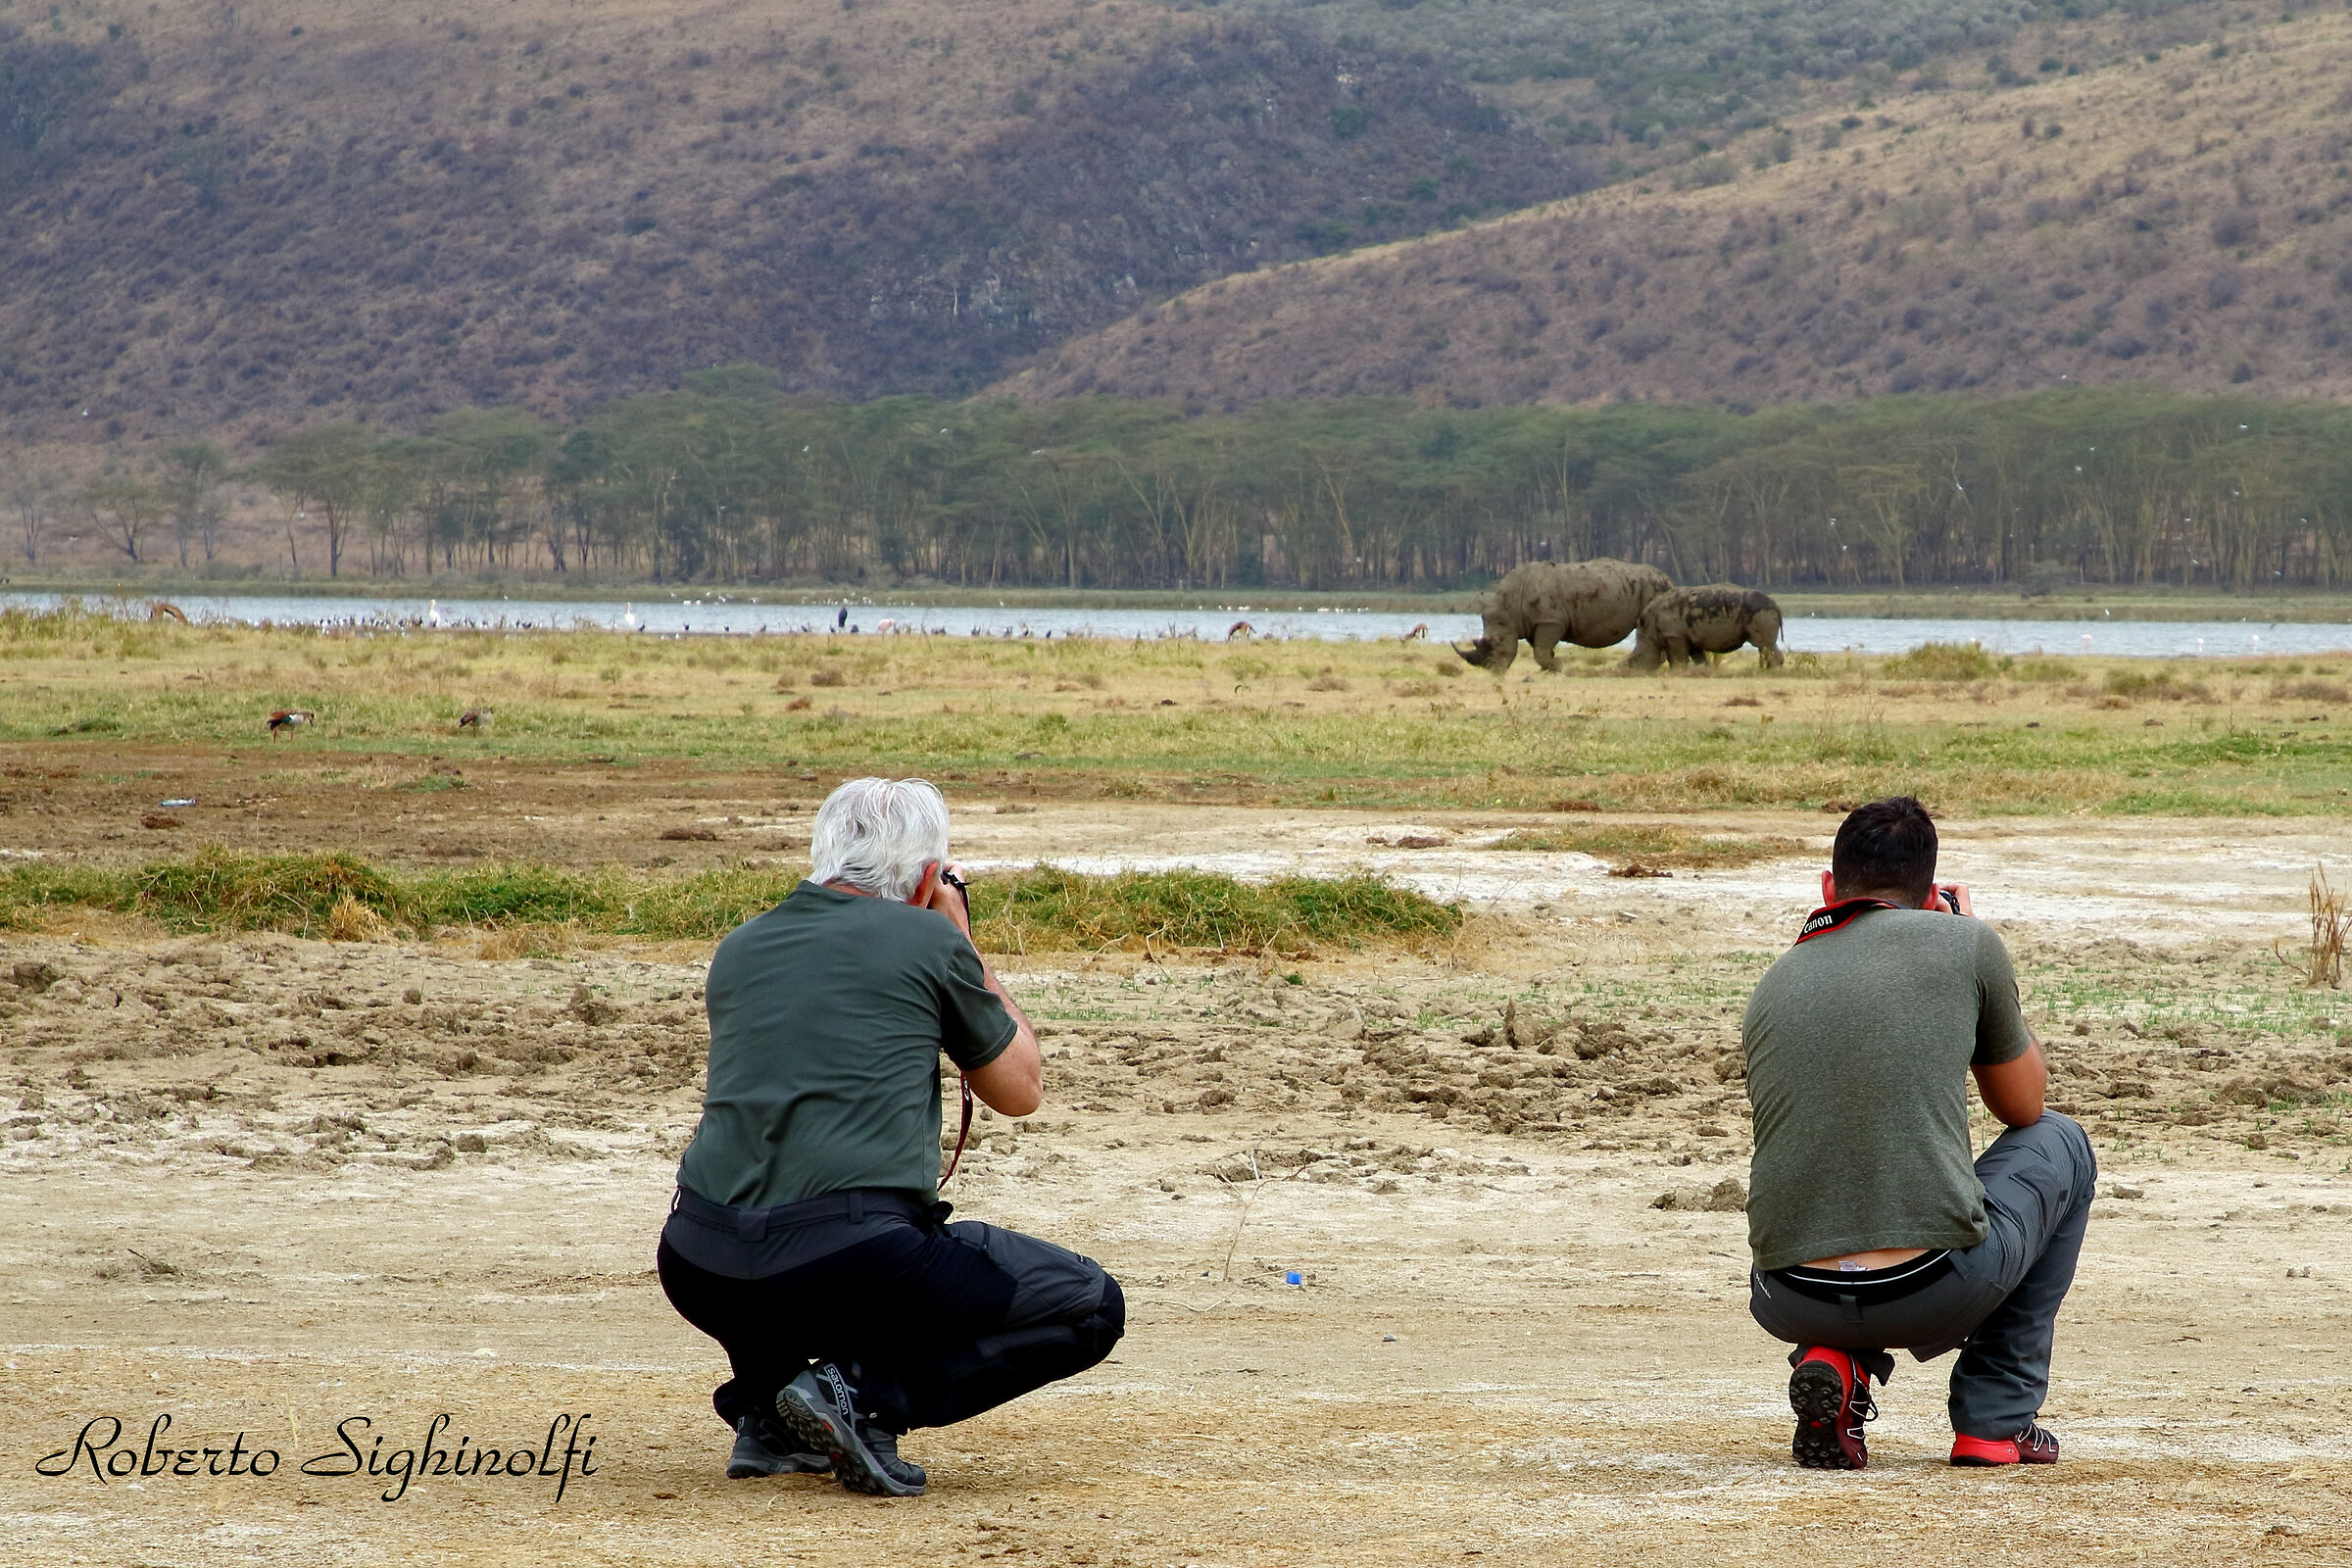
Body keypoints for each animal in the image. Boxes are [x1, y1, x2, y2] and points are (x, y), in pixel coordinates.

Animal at [1454, 558, 1674, 673]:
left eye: (1495, 645)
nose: (1491, 670)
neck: (1509, 608)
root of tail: (1668, 580)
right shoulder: (1536, 623)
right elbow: (1541, 650)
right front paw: (1549, 668)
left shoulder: (1551, 621)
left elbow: (1541, 650)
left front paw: (1558, 667)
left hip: (1653, 589)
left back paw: (1634, 669)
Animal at [1626, 584, 1786, 669]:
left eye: (1635, 659)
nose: (1625, 672)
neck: (1649, 630)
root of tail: (1777, 606)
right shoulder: (1687, 636)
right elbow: (1698, 659)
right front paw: (1703, 671)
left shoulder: (1674, 635)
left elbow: (1678, 659)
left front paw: (1679, 673)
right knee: (1764, 646)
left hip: (1761, 611)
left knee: (1764, 644)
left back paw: (1771, 672)